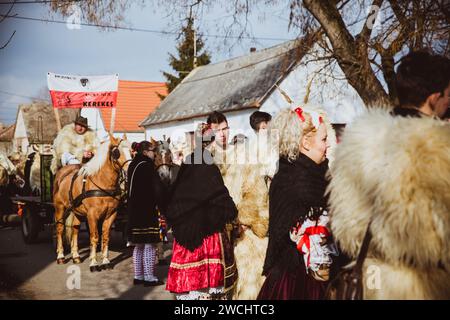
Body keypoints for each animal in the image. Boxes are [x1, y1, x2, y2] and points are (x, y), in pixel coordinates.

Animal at [53, 134, 131, 272]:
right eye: (117, 152)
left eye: (132, 150)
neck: (102, 183)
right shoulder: (92, 215)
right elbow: (94, 237)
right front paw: (94, 263)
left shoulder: (111, 214)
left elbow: (105, 236)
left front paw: (105, 261)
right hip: (60, 208)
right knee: (60, 228)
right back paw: (61, 256)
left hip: (76, 211)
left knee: (75, 229)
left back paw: (76, 256)